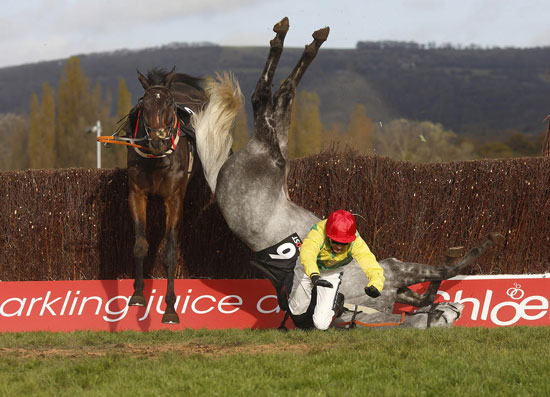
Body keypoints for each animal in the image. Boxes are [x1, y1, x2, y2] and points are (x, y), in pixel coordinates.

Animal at [123, 67, 209, 322]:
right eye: (145, 104)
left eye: (170, 104)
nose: (159, 140)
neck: (157, 159)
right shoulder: (137, 193)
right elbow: (140, 244)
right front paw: (138, 295)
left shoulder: (174, 198)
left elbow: (170, 252)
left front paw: (170, 308)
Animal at [193, 17, 504, 328]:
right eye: (444, 322)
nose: (459, 308)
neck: (355, 303)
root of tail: (218, 177)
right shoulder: (395, 271)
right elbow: (442, 273)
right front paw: (482, 245)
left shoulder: (400, 288)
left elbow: (427, 293)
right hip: (271, 151)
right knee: (264, 97)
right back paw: (289, 38)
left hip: (280, 149)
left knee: (282, 98)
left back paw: (305, 39)